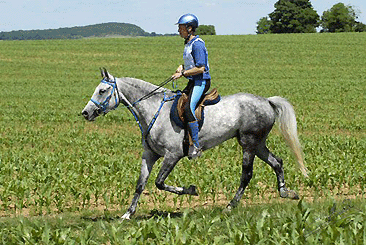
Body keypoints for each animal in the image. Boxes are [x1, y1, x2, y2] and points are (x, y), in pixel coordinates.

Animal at [81, 69, 308, 220]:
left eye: (102, 90)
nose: (85, 113)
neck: (153, 109)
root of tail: (267, 101)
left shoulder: (172, 155)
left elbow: (159, 183)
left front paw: (191, 190)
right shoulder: (150, 155)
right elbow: (140, 184)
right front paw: (127, 214)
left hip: (249, 143)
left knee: (247, 174)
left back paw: (230, 205)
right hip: (258, 144)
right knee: (277, 162)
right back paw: (286, 192)